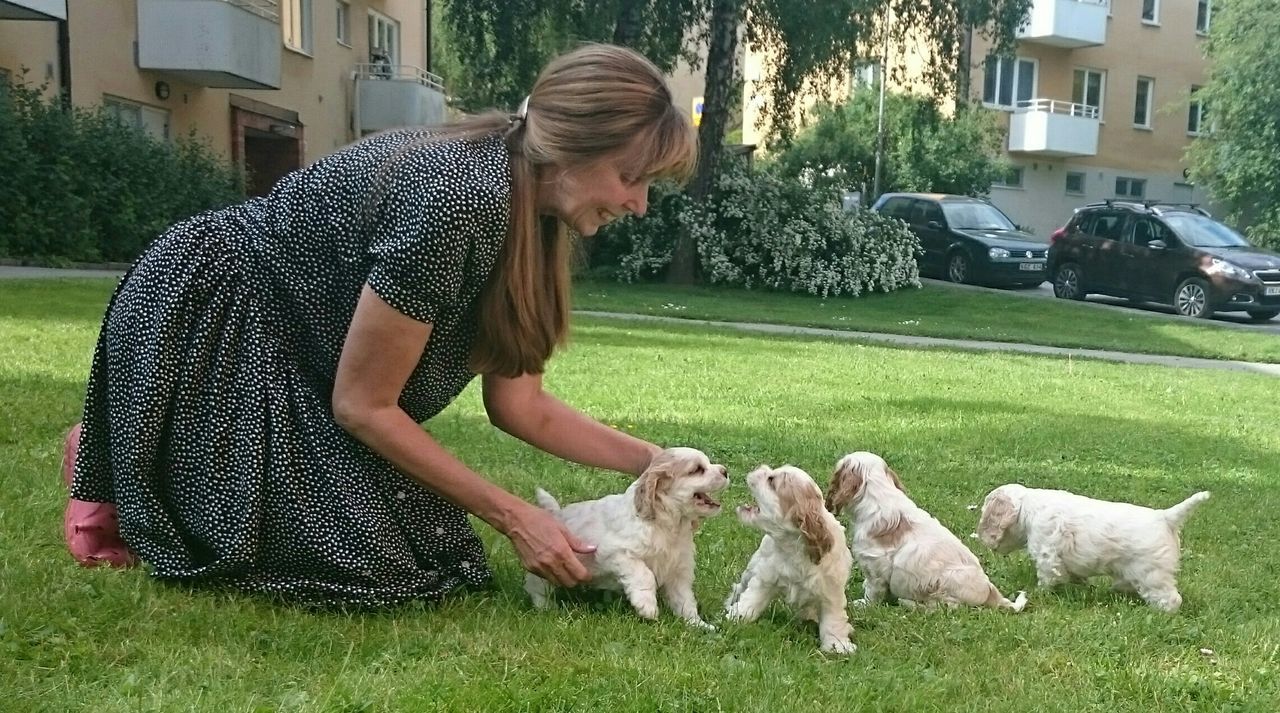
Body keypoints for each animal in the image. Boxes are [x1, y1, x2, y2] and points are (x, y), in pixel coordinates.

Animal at [522, 448, 732, 624]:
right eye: (697, 469)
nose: (725, 471)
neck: (669, 525)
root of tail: (557, 514)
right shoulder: (617, 552)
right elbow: (644, 575)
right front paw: (647, 606)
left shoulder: (678, 569)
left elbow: (685, 599)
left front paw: (697, 624)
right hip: (547, 567)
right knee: (536, 586)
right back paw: (545, 607)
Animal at [727, 463, 855, 652]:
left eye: (771, 480)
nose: (759, 466)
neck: (793, 545)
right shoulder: (765, 578)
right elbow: (751, 599)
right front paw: (736, 617)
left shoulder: (831, 591)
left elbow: (833, 620)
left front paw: (837, 645)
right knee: (740, 587)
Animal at [829, 450, 1029, 611]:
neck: (879, 492)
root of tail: (991, 592)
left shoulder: (875, 564)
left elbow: (873, 590)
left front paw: (864, 604)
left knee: (946, 607)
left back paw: (908, 603)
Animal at [977, 481, 1208, 609]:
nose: (983, 540)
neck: (1028, 506)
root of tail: (1165, 517)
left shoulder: (1047, 555)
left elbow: (1047, 577)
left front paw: (1041, 593)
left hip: (1152, 574)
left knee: (1170, 599)